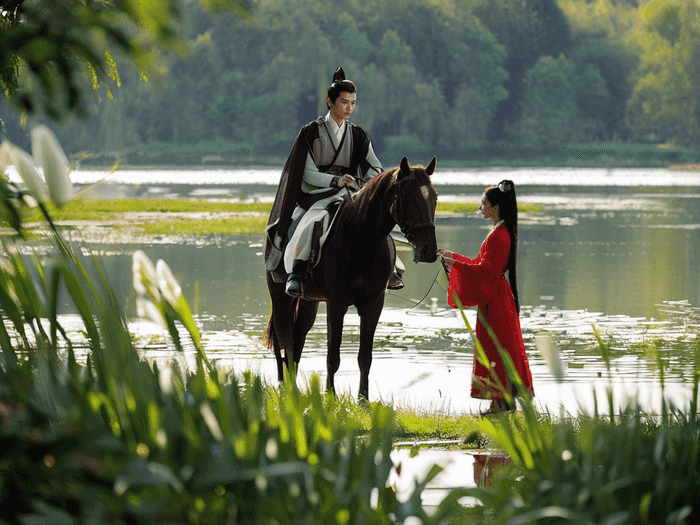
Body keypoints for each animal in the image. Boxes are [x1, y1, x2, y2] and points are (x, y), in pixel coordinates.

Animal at [264, 156, 438, 398]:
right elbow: (332, 356)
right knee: (284, 339)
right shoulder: (336, 304)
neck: (360, 239)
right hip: (281, 296)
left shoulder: (373, 304)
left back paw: (293, 387)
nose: (428, 251)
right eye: (407, 198)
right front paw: (330, 396)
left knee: (297, 337)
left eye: (435, 198)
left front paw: (363, 398)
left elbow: (365, 357)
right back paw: (284, 387)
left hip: (309, 301)